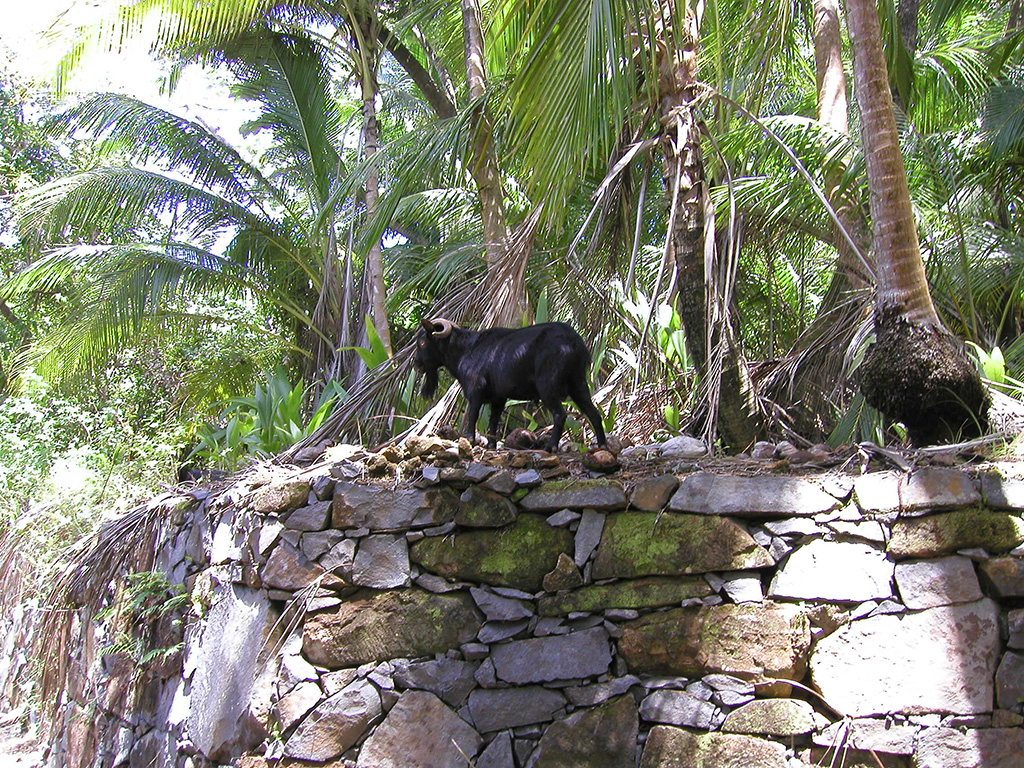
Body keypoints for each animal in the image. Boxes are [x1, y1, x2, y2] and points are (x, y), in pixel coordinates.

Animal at [413, 317, 606, 454]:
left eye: (422, 342)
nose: (417, 364)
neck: (465, 350)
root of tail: (575, 343)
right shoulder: (499, 398)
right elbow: (493, 420)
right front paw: (491, 445)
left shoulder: (475, 391)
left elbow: (472, 416)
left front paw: (470, 440)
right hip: (578, 383)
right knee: (594, 414)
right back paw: (602, 445)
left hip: (548, 386)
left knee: (560, 415)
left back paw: (550, 447)